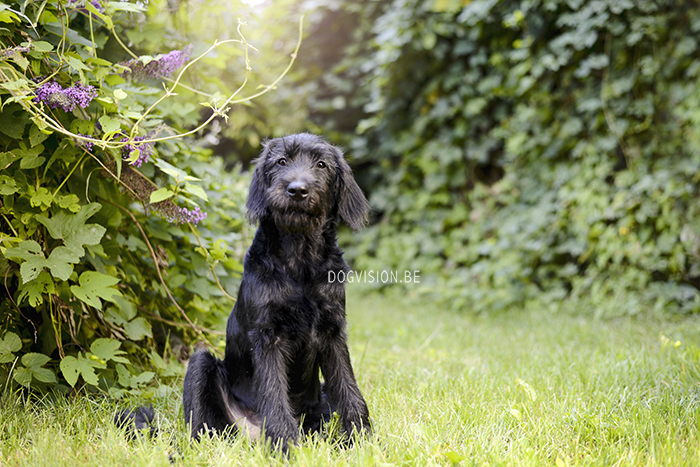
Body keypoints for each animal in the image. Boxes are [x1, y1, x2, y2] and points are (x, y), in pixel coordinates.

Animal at [183, 133, 374, 452]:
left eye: (321, 164)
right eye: (281, 161)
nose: (297, 189)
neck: (300, 260)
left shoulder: (333, 332)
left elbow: (350, 390)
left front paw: (365, 441)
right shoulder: (268, 335)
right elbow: (274, 394)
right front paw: (285, 447)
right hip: (201, 366)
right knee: (199, 427)